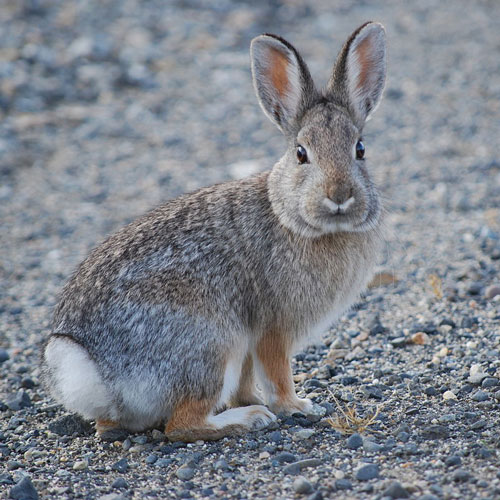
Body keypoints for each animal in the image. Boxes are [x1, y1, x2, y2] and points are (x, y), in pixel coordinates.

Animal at [42, 22, 386, 442]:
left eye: (360, 149)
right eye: (301, 153)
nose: (339, 195)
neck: (294, 217)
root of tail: (96, 371)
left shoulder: (251, 344)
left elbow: (247, 379)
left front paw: (254, 398)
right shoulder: (272, 327)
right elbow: (277, 372)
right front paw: (297, 406)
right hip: (212, 343)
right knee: (181, 424)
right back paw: (249, 419)